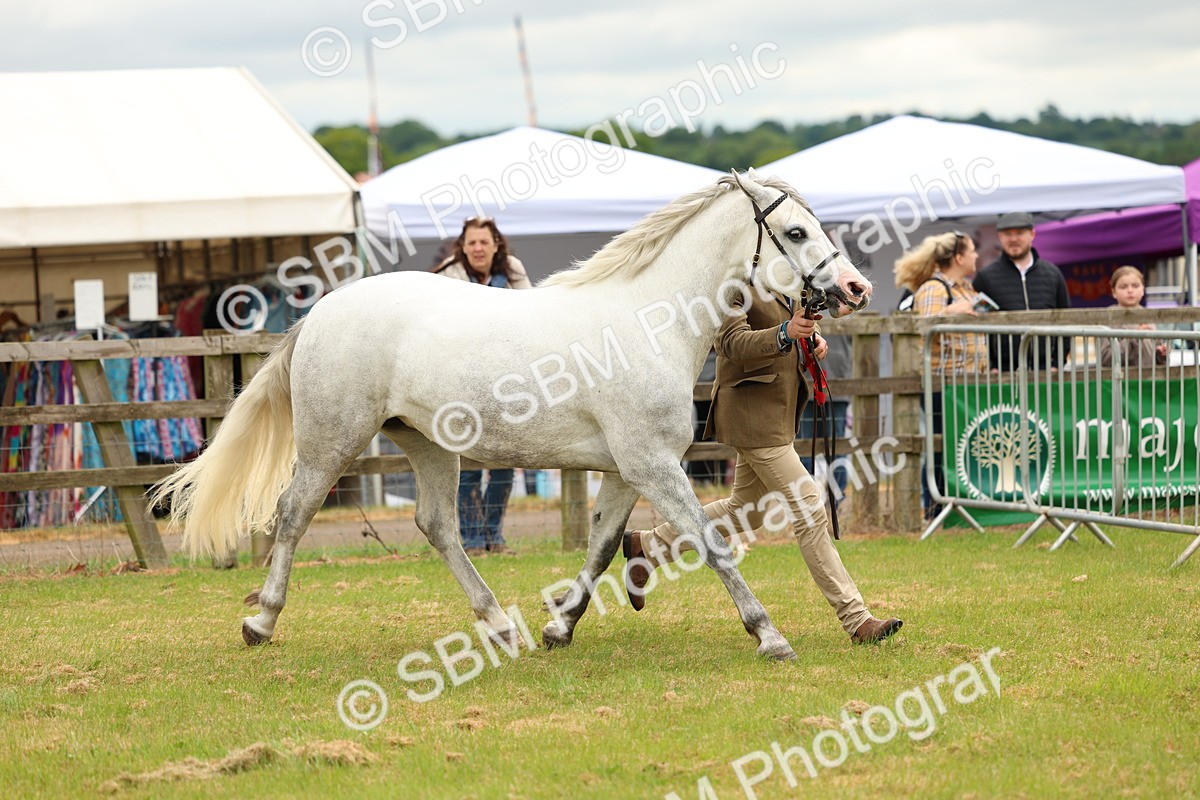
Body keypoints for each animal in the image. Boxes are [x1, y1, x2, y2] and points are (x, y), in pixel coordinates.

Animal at [150, 170, 872, 661]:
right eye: (797, 232)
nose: (856, 288)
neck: (649, 322)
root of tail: (322, 310)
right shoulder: (653, 466)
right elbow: (712, 542)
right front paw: (770, 635)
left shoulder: (625, 471)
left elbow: (603, 546)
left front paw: (558, 627)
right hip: (334, 441)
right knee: (293, 515)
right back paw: (261, 621)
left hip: (428, 446)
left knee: (438, 526)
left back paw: (499, 625)